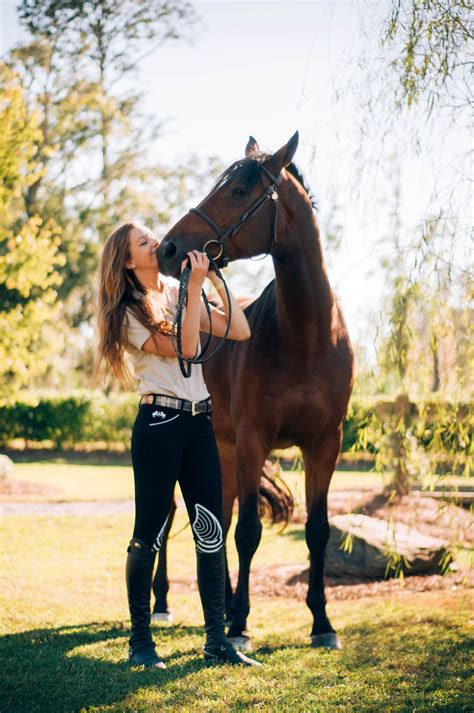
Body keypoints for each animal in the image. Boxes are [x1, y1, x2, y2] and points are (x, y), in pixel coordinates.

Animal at [154, 131, 354, 648]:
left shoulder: (325, 445)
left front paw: (322, 623)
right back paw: (164, 603)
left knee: (215, 518)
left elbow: (318, 531)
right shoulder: (253, 441)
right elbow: (248, 532)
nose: (168, 248)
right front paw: (242, 624)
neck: (304, 336)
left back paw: (219, 605)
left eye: (239, 191)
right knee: (172, 515)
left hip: (219, 449)